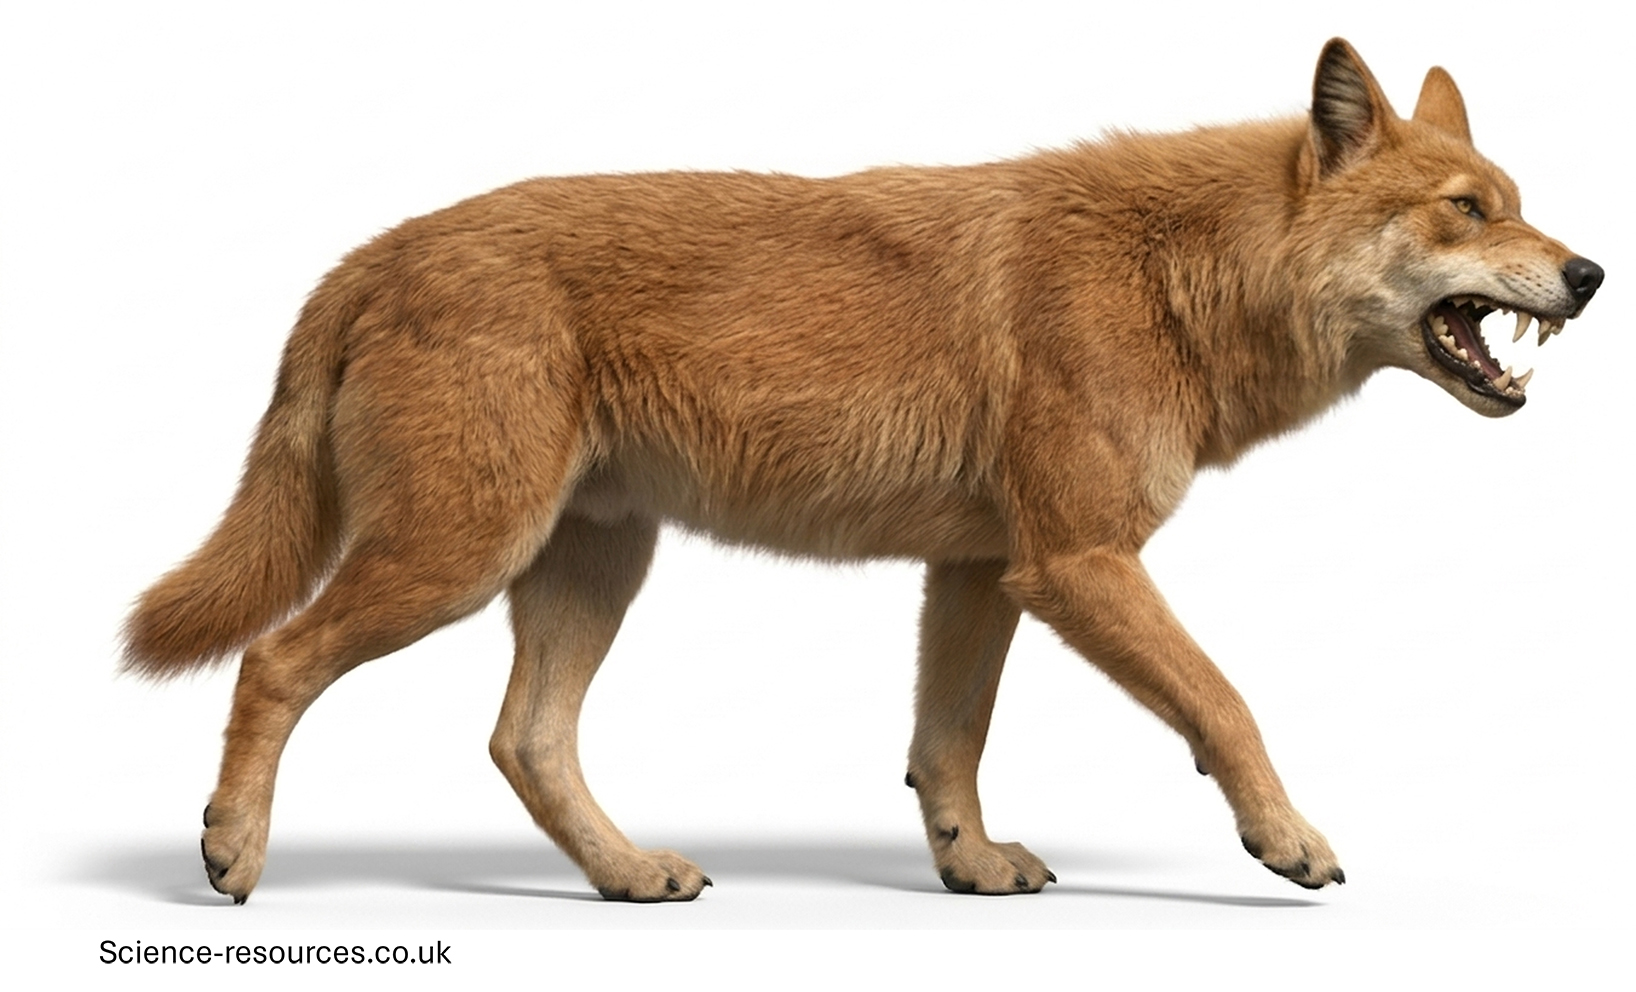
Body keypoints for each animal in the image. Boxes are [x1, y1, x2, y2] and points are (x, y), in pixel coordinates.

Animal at [124, 38, 1602, 903]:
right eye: (1468, 211)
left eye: (1517, 204)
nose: (1590, 272)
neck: (1176, 275)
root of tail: (364, 254)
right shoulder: (1078, 564)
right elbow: (1225, 704)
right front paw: (1288, 840)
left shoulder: (982, 573)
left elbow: (947, 748)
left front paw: (970, 866)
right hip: (452, 560)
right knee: (274, 660)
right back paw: (231, 851)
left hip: (587, 564)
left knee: (522, 740)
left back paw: (630, 875)